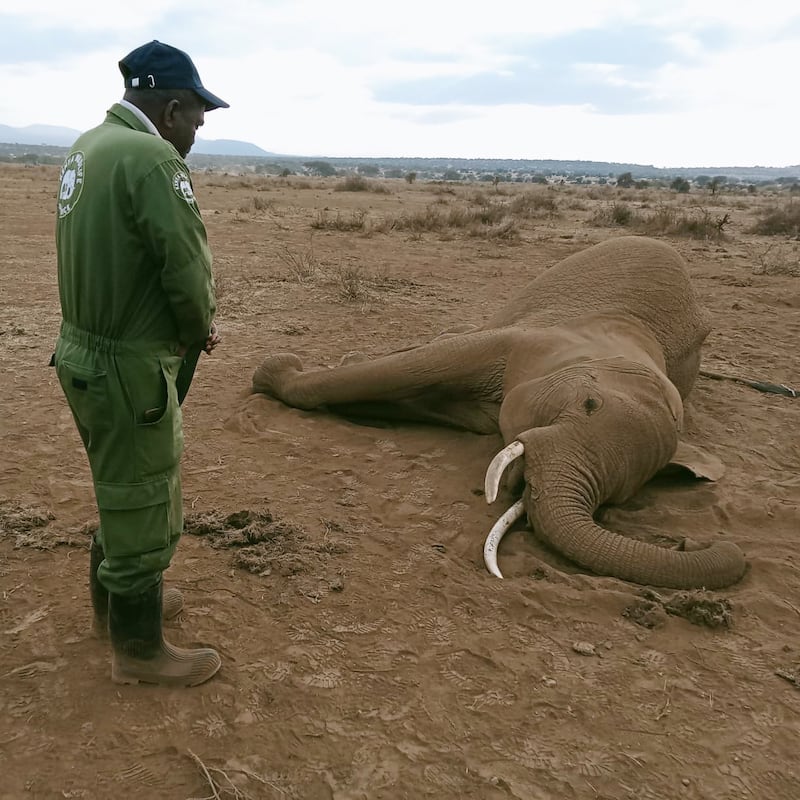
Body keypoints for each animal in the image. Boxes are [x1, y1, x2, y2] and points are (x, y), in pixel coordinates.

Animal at [252, 236, 747, 590]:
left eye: (618, 498)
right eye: (588, 404)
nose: (696, 541)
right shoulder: (533, 341)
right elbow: (422, 366)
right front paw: (273, 373)